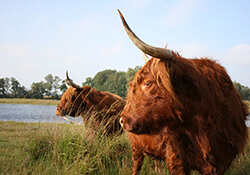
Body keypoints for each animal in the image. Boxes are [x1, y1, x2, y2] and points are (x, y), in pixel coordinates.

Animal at [117, 9, 248, 175]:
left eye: (147, 83)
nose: (122, 120)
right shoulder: (176, 158)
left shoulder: (222, 160)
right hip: (136, 148)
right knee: (136, 166)